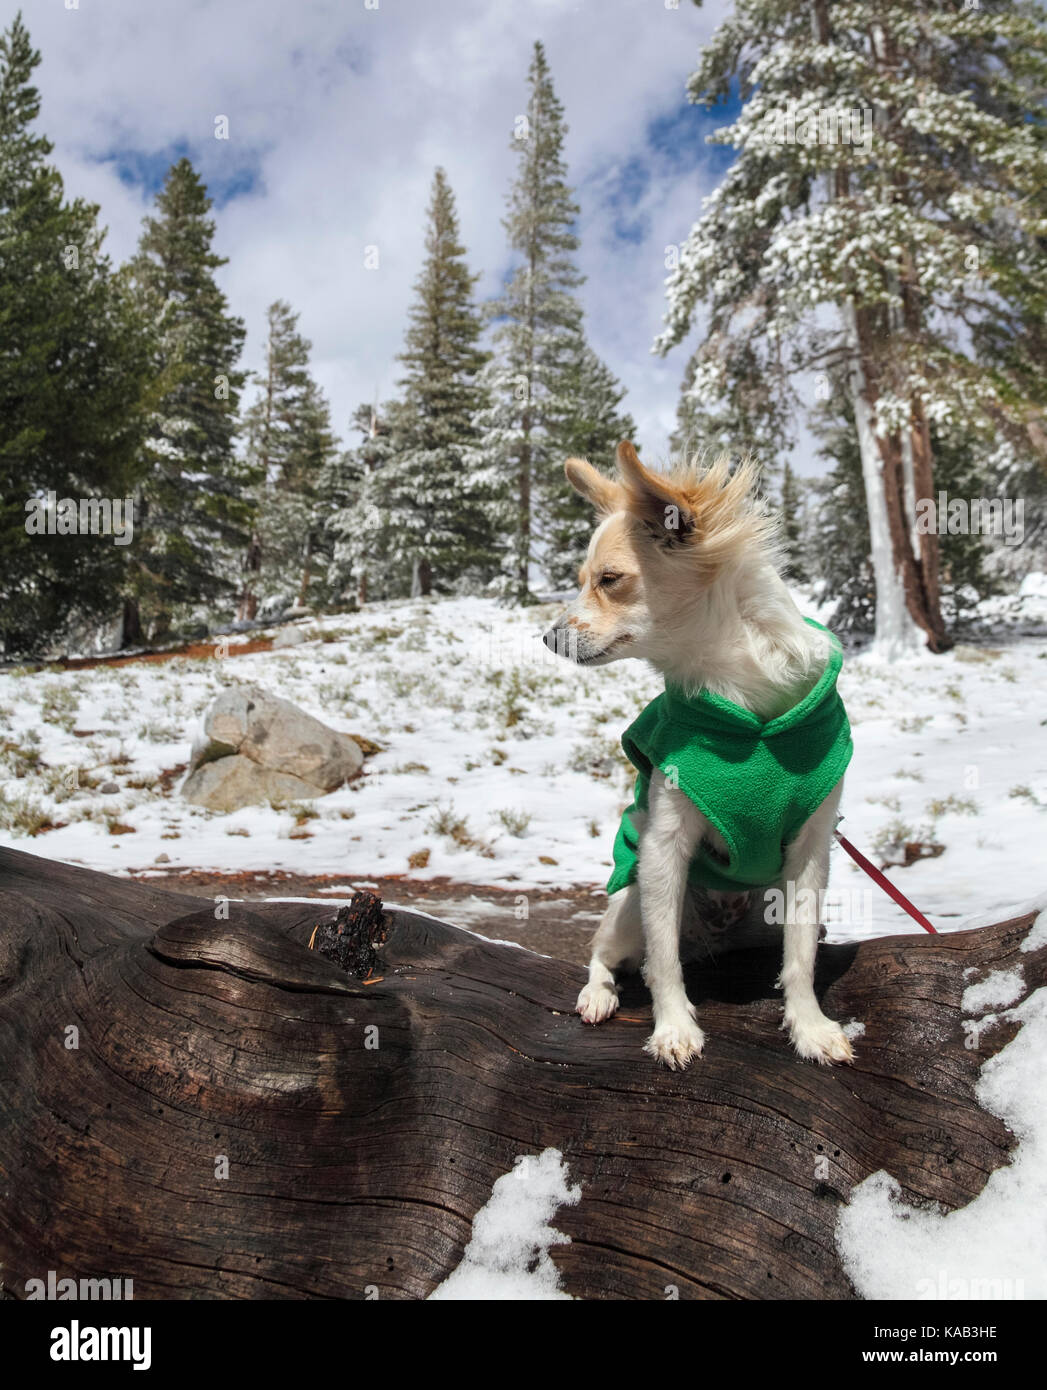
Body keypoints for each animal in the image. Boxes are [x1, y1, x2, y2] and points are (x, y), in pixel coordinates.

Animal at [542, 439, 850, 1067]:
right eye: (584, 580)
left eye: (609, 579)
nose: (547, 636)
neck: (744, 702)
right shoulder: (663, 848)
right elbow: (662, 962)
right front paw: (673, 1028)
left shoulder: (811, 852)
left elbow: (801, 955)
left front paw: (809, 1026)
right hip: (629, 903)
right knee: (607, 954)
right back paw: (597, 995)